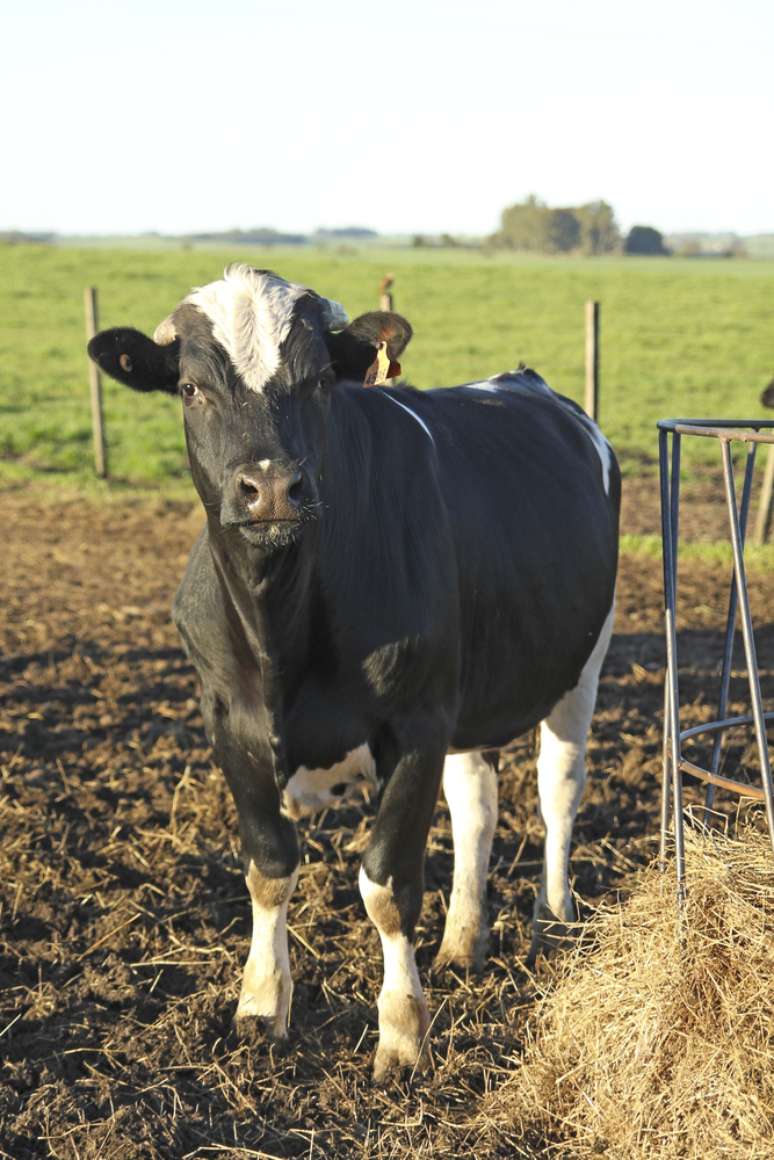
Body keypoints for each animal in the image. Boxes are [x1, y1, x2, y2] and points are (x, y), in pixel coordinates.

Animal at [91, 266, 621, 1081]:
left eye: (317, 381)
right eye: (189, 388)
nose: (271, 488)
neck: (280, 631)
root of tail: (526, 381)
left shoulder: (415, 724)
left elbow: (388, 883)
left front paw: (401, 1035)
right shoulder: (228, 719)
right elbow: (269, 864)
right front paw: (260, 1007)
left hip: (580, 662)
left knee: (558, 790)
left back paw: (554, 920)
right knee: (477, 805)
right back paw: (464, 942)